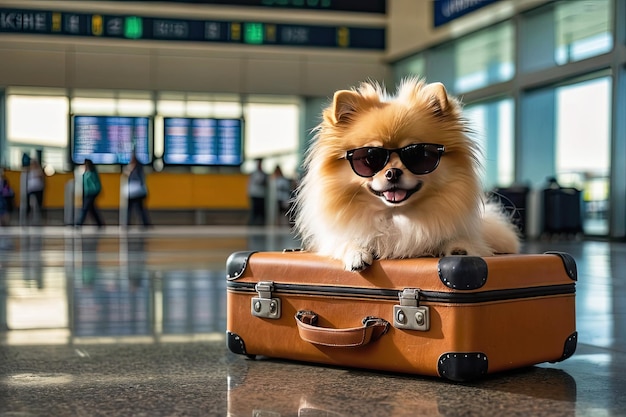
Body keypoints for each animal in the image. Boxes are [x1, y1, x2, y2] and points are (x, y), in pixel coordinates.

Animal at [290, 77, 520, 272]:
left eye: (418, 154)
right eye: (370, 157)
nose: (393, 172)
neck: (396, 216)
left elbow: (461, 240)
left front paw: (459, 248)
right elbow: (344, 241)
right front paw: (356, 252)